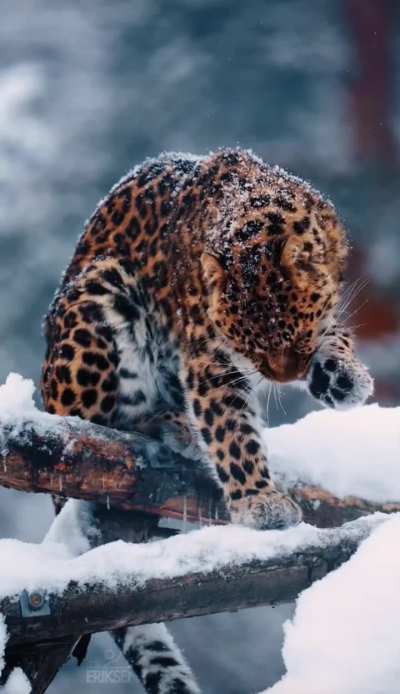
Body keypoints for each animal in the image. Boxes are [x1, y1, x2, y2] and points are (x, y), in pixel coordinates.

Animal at [41, 147, 373, 693]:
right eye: (248, 342)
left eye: (293, 334)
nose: (286, 374)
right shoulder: (209, 360)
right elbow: (232, 433)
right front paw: (260, 502)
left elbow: (336, 333)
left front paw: (344, 377)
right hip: (98, 297)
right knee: (104, 427)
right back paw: (171, 426)